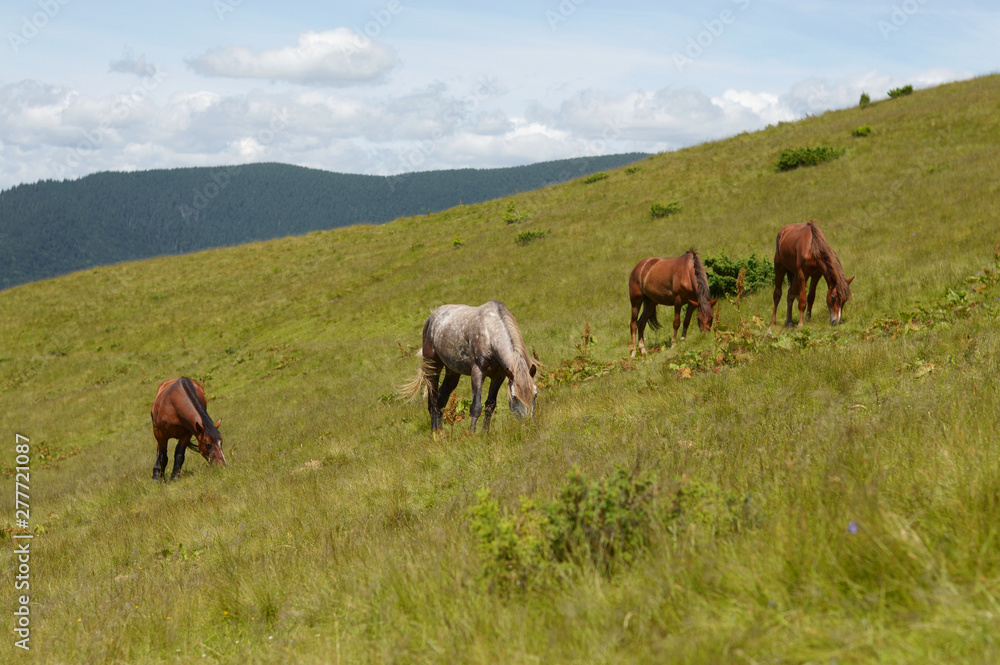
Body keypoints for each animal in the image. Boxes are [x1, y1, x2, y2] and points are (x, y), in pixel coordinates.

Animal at [402, 300, 540, 434]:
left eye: (535, 395)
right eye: (514, 397)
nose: (528, 425)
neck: (489, 333)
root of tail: (431, 317)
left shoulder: (498, 376)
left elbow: (490, 405)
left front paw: (485, 433)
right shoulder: (477, 372)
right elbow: (476, 407)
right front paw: (472, 434)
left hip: (452, 372)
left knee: (442, 398)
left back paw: (441, 432)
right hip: (432, 366)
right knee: (434, 400)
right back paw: (434, 432)